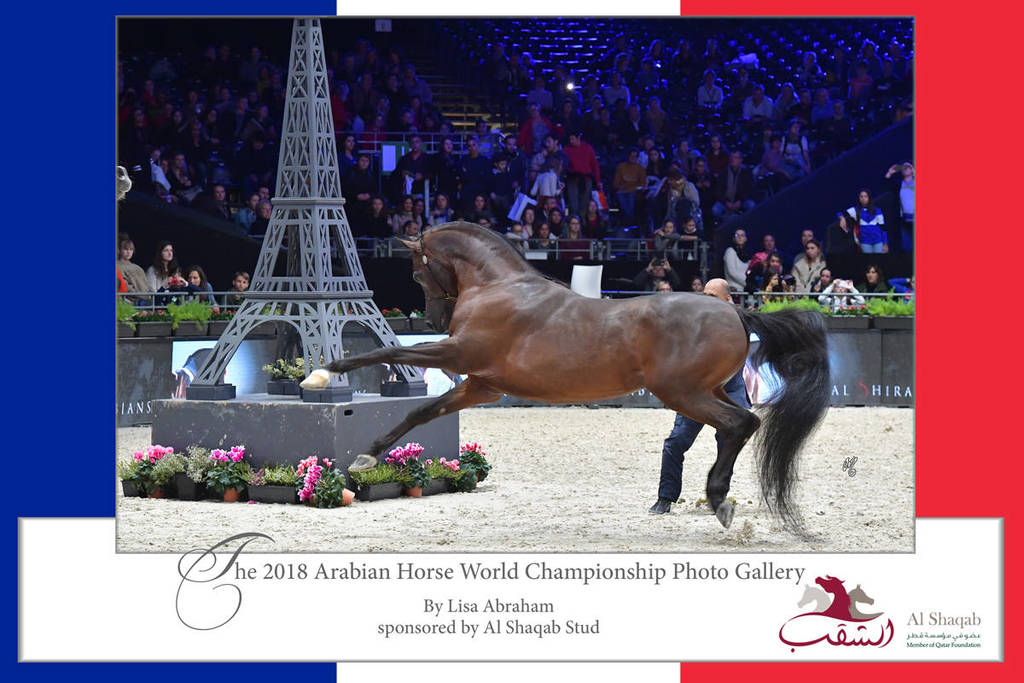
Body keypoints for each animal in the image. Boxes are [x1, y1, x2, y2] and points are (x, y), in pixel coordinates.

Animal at [302, 222, 830, 529]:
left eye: (415, 273)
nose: (432, 320)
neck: (498, 287)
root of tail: (734, 311)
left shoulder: (458, 353)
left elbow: (387, 350)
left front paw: (322, 376)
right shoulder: (480, 385)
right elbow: (421, 412)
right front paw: (366, 458)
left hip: (682, 393)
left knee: (742, 424)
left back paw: (719, 499)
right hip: (701, 392)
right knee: (732, 429)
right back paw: (716, 500)